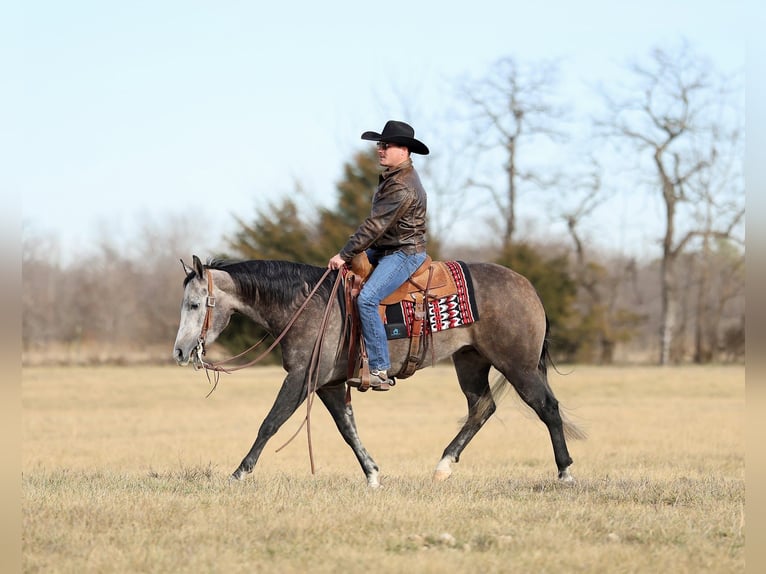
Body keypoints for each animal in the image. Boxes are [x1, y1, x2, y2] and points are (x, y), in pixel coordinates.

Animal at [173, 255, 583, 487]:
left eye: (194, 304)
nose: (179, 351)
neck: (306, 304)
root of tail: (527, 288)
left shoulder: (301, 378)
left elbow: (270, 422)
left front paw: (240, 472)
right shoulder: (328, 384)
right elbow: (347, 429)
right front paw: (372, 473)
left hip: (519, 365)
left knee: (547, 408)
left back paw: (565, 472)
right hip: (470, 361)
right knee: (481, 409)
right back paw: (443, 466)